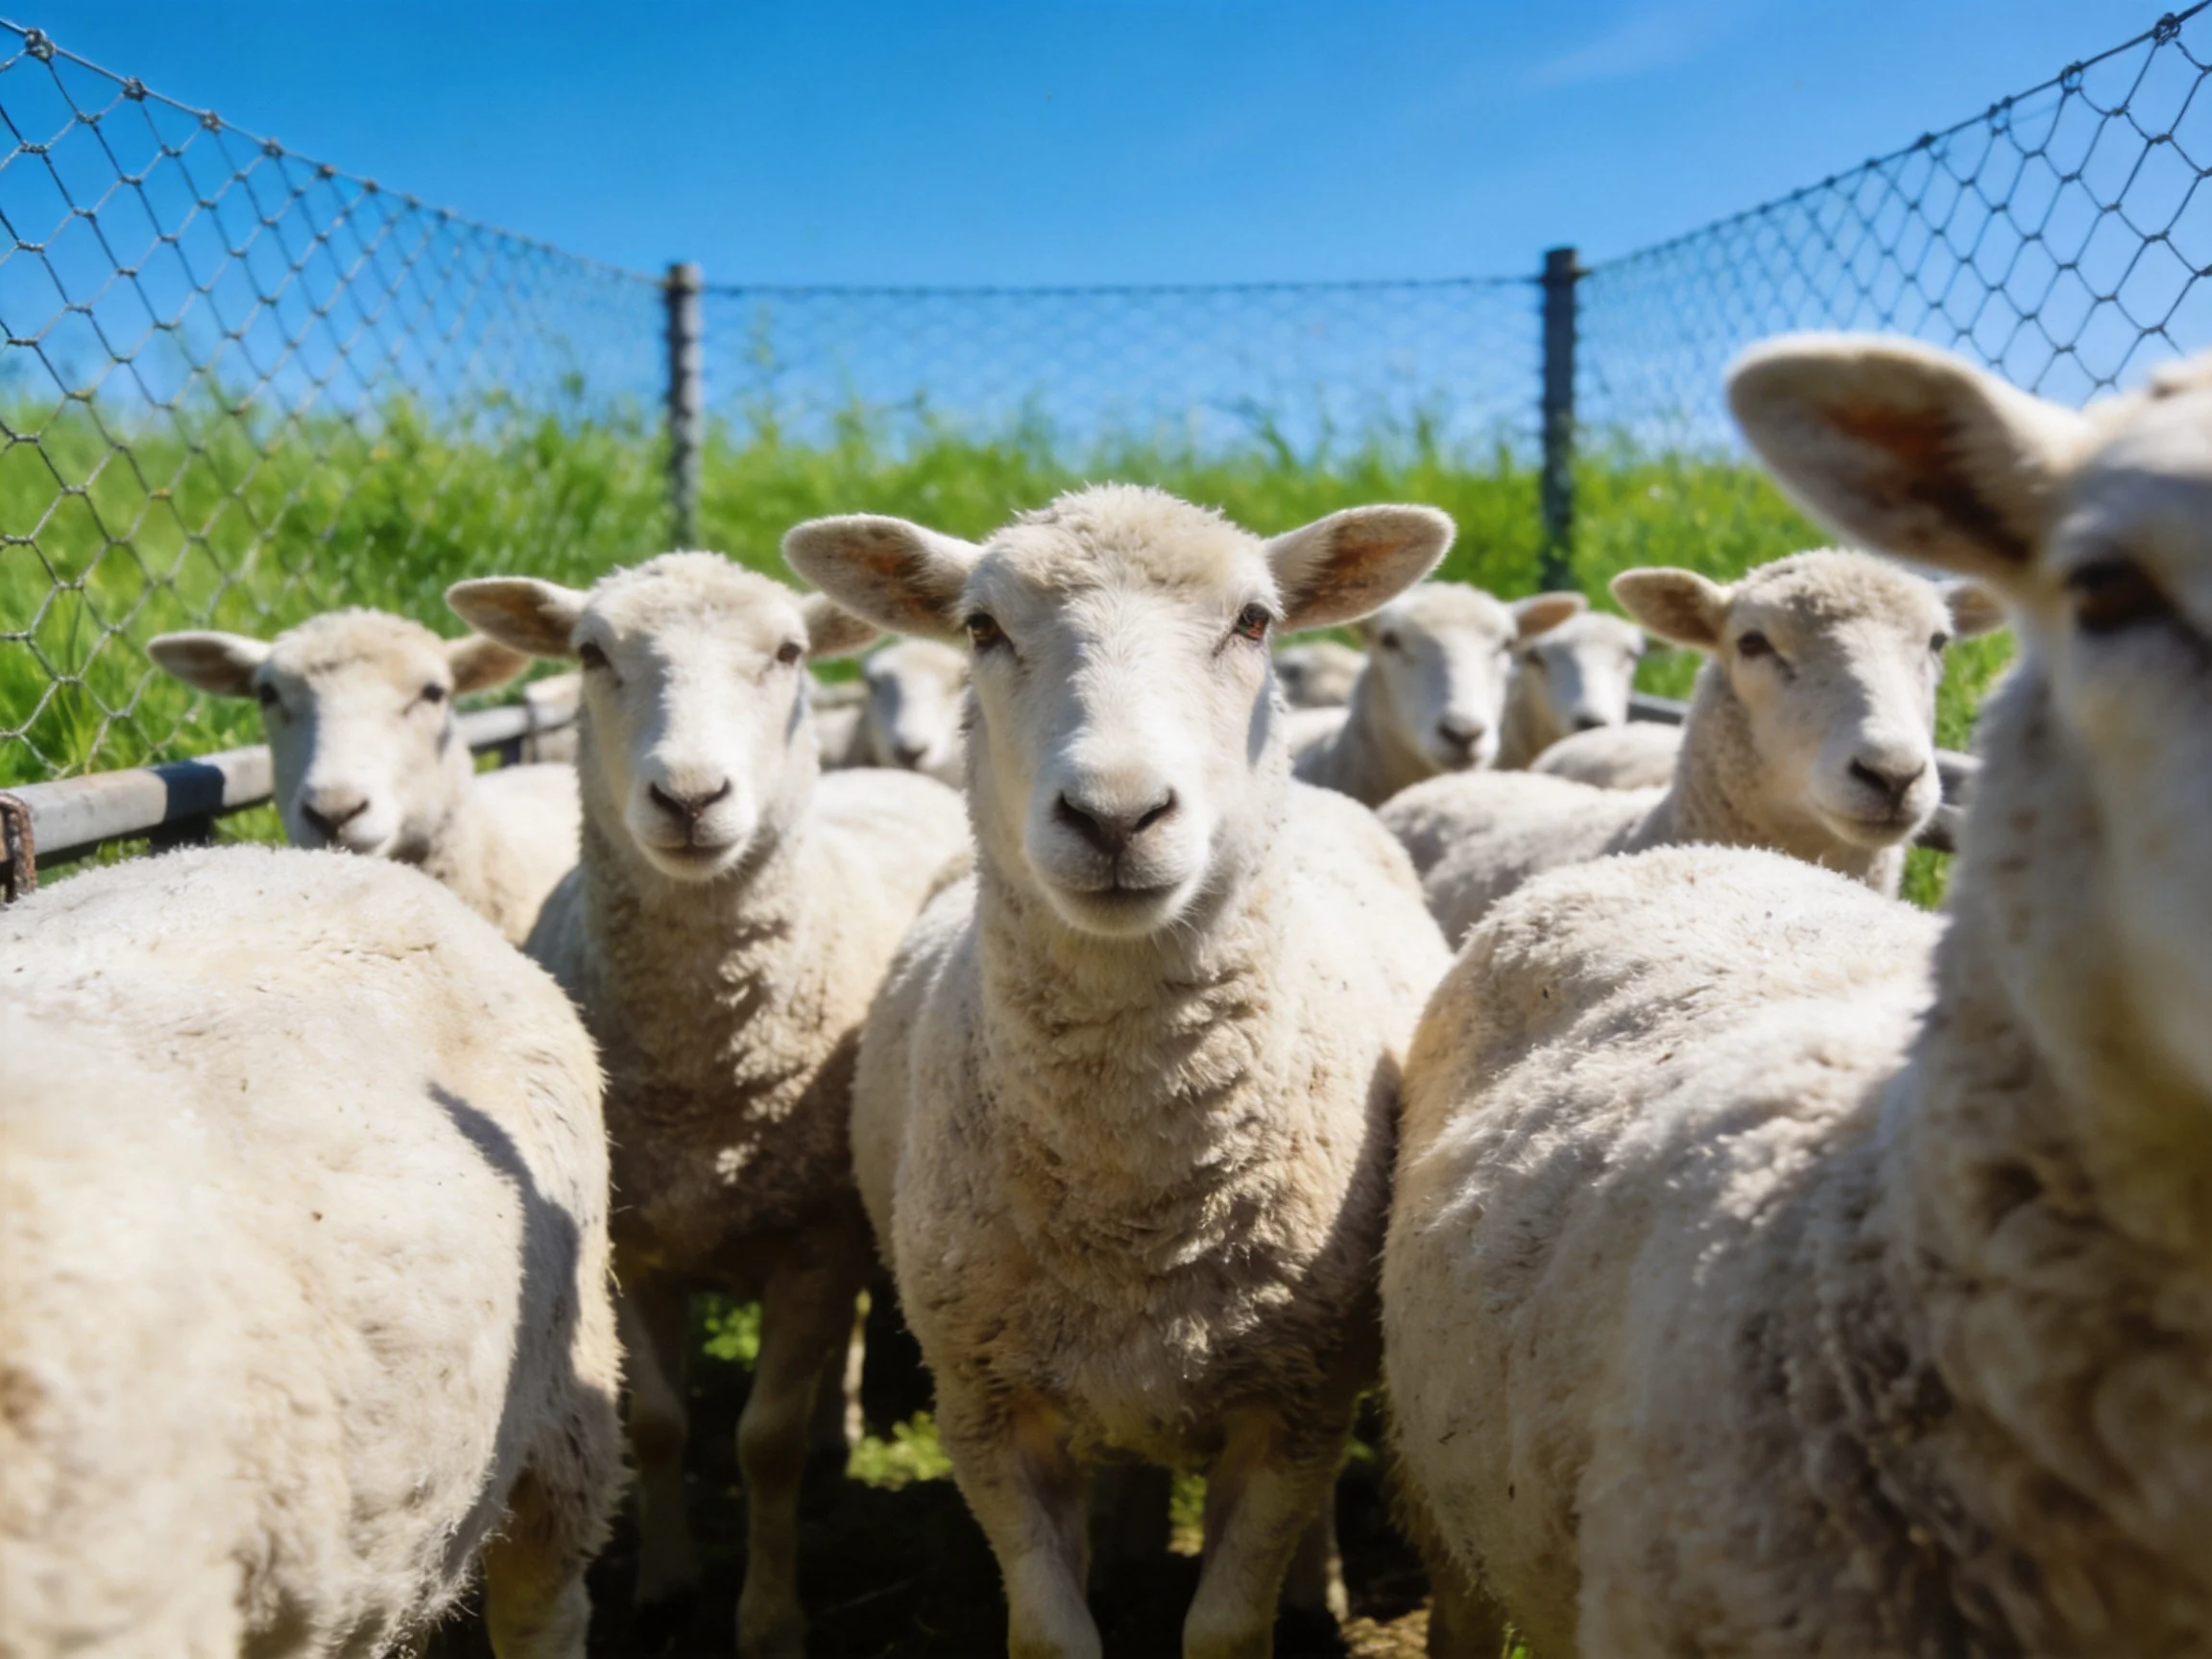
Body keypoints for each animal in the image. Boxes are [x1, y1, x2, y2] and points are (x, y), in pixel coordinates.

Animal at [446, 553, 971, 1659]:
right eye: (592, 653)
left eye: (790, 652)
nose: (689, 797)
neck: (705, 1087)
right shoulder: (632, 1243)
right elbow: (661, 1425)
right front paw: (668, 1582)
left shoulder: (814, 1238)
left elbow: (763, 1442)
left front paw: (769, 1617)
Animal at [783, 484, 1454, 1659]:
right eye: (981, 628)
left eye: (1255, 622)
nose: (1115, 816)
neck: (1131, 1193)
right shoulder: (984, 1407)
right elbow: (1052, 1632)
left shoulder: (1299, 1403)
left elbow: (1227, 1626)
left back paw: (1314, 1587)